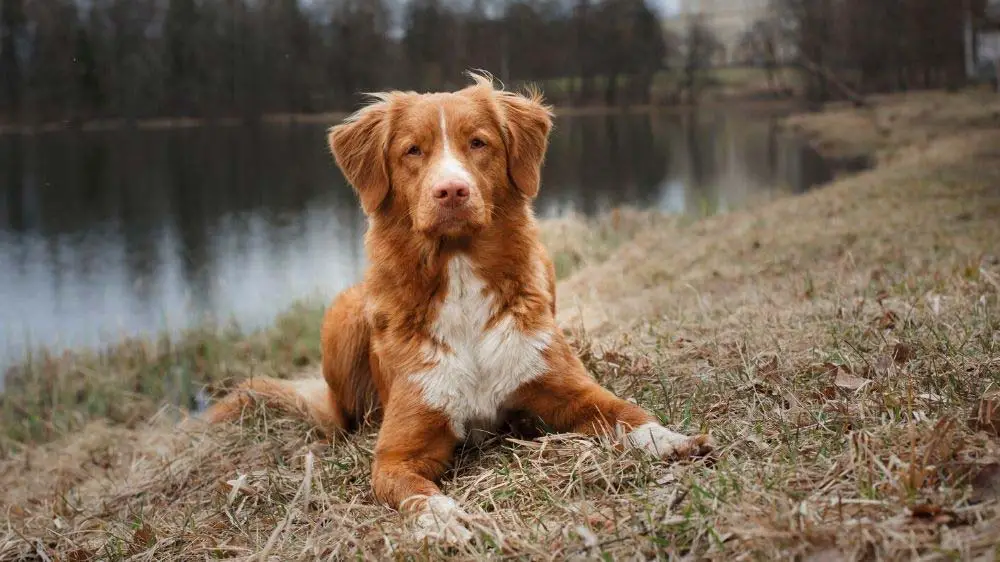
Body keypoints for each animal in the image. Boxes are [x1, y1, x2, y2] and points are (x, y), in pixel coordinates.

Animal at [203, 72, 712, 540]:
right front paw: (445, 519)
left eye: (478, 143)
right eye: (412, 151)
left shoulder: (570, 391)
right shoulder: (397, 454)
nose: (451, 191)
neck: (459, 273)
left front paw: (671, 440)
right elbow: (415, 490)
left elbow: (629, 413)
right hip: (341, 316)